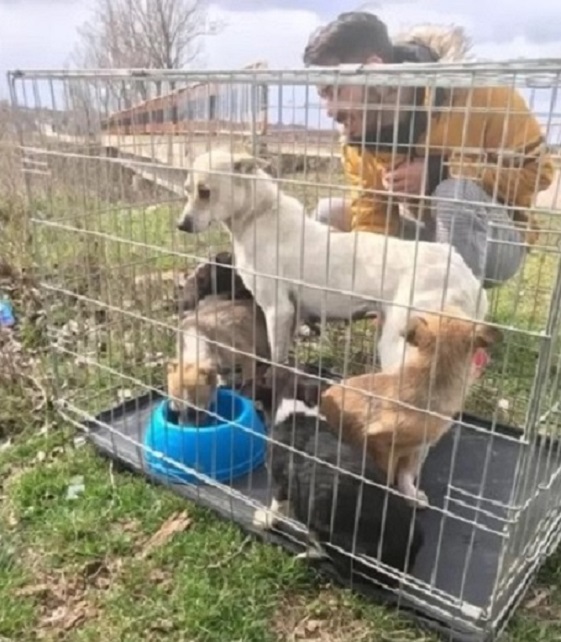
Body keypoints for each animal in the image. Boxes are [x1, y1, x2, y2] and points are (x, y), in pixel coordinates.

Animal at [177, 150, 488, 370]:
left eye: (205, 192)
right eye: (187, 189)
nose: (181, 225)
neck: (259, 214)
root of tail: (469, 279)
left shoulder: (278, 309)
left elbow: (277, 359)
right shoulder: (292, 313)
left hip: (398, 343)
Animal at [238, 370, 422, 584]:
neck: (296, 412)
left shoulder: (281, 483)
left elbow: (276, 506)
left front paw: (265, 520)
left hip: (322, 524)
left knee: (336, 562)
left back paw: (304, 556)